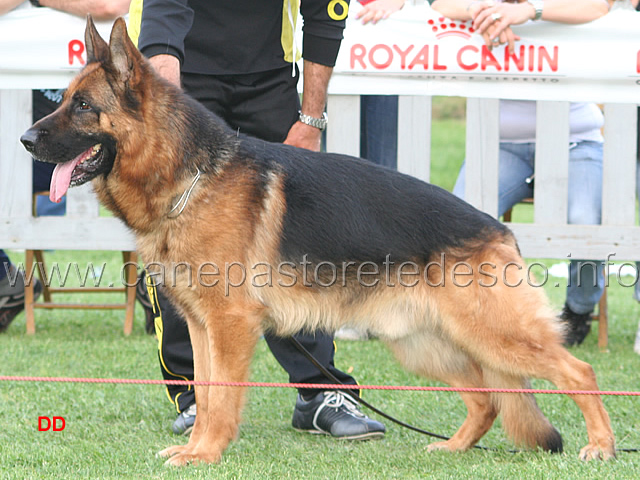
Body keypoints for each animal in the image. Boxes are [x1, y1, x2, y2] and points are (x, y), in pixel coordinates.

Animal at [20, 17, 616, 464]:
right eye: (63, 99)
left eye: (82, 106)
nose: (25, 139)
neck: (189, 176)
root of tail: (501, 228)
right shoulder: (202, 325)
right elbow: (205, 394)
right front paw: (195, 449)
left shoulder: (229, 326)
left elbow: (222, 398)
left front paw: (206, 454)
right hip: (425, 343)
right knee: (489, 397)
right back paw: (453, 447)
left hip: (492, 333)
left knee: (577, 371)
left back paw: (601, 446)